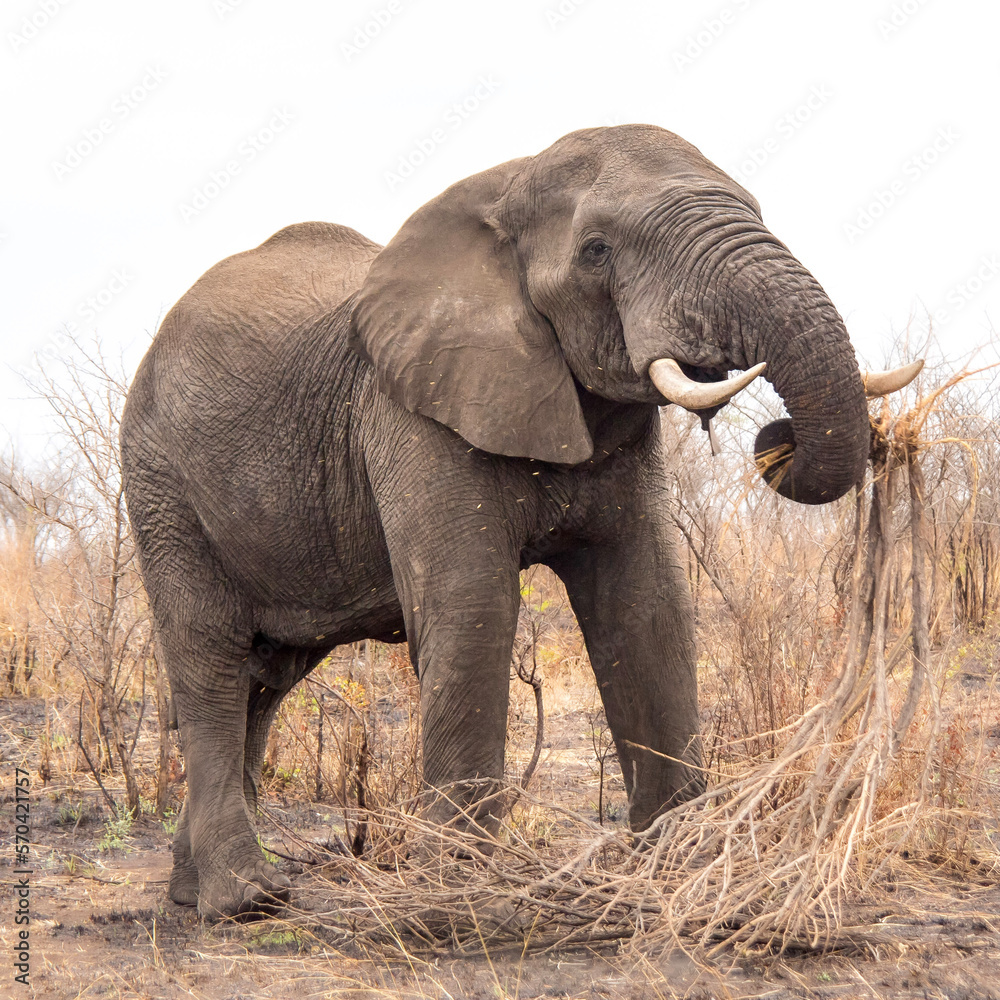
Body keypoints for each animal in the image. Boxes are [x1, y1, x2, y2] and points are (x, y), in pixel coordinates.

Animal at [120, 124, 920, 919]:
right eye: (596, 250)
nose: (774, 436)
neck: (505, 189)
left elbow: (647, 603)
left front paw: (677, 863)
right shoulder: (412, 406)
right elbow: (473, 604)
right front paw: (459, 891)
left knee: (268, 673)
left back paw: (193, 893)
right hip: (161, 479)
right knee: (212, 659)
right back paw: (245, 900)